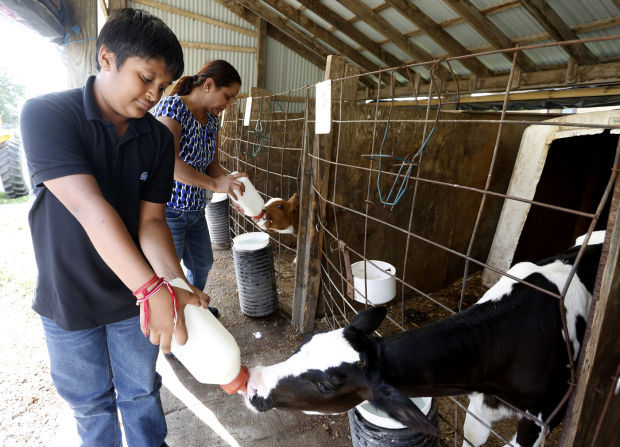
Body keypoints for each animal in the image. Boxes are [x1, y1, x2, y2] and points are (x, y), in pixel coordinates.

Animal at [245, 233, 604, 446]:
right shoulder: (480, 403)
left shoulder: (544, 417)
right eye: (303, 344)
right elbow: (473, 436)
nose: (254, 384)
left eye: (326, 384)